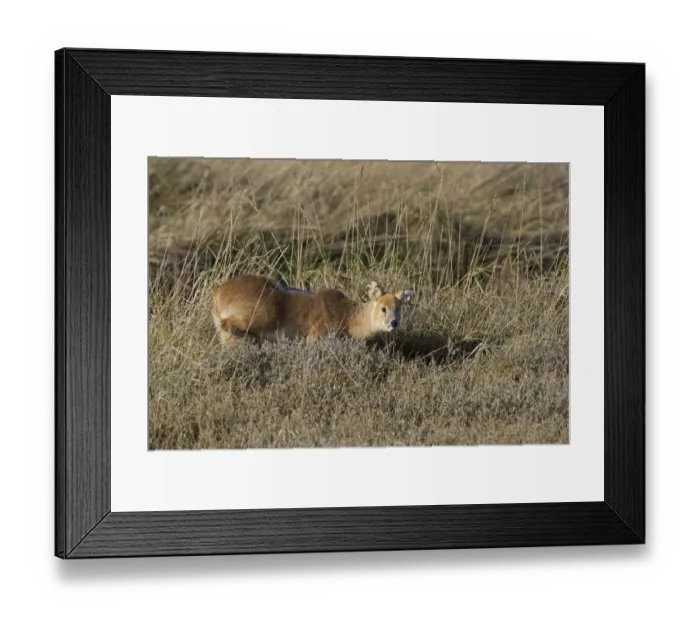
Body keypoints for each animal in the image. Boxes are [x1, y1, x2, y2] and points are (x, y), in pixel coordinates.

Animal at [212, 274, 416, 347]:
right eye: (383, 308)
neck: (348, 316)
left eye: (399, 308)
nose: (393, 323)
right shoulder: (316, 338)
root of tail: (219, 292)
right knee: (227, 324)